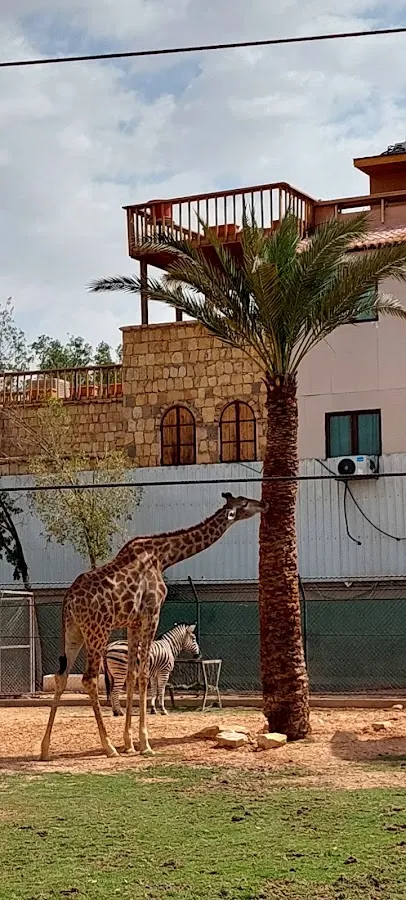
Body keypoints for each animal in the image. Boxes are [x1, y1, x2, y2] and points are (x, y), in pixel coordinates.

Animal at [40, 491, 265, 761]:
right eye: (244, 503)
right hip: (98, 630)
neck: (164, 556)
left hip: (73, 631)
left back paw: (45, 749)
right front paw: (144, 744)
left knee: (61, 677)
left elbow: (131, 675)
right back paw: (108, 747)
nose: (263, 504)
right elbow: (145, 675)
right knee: (89, 679)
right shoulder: (152, 613)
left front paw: (129, 743)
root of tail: (69, 599)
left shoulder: (132, 622)